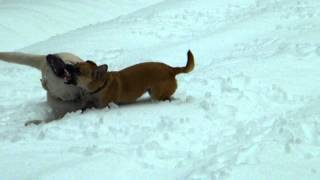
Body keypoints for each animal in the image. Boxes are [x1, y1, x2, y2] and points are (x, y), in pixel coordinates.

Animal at [65, 50, 194, 109]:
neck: (100, 86)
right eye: (75, 64)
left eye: (78, 70)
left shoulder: (103, 106)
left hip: (157, 94)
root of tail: (171, 69)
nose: (66, 65)